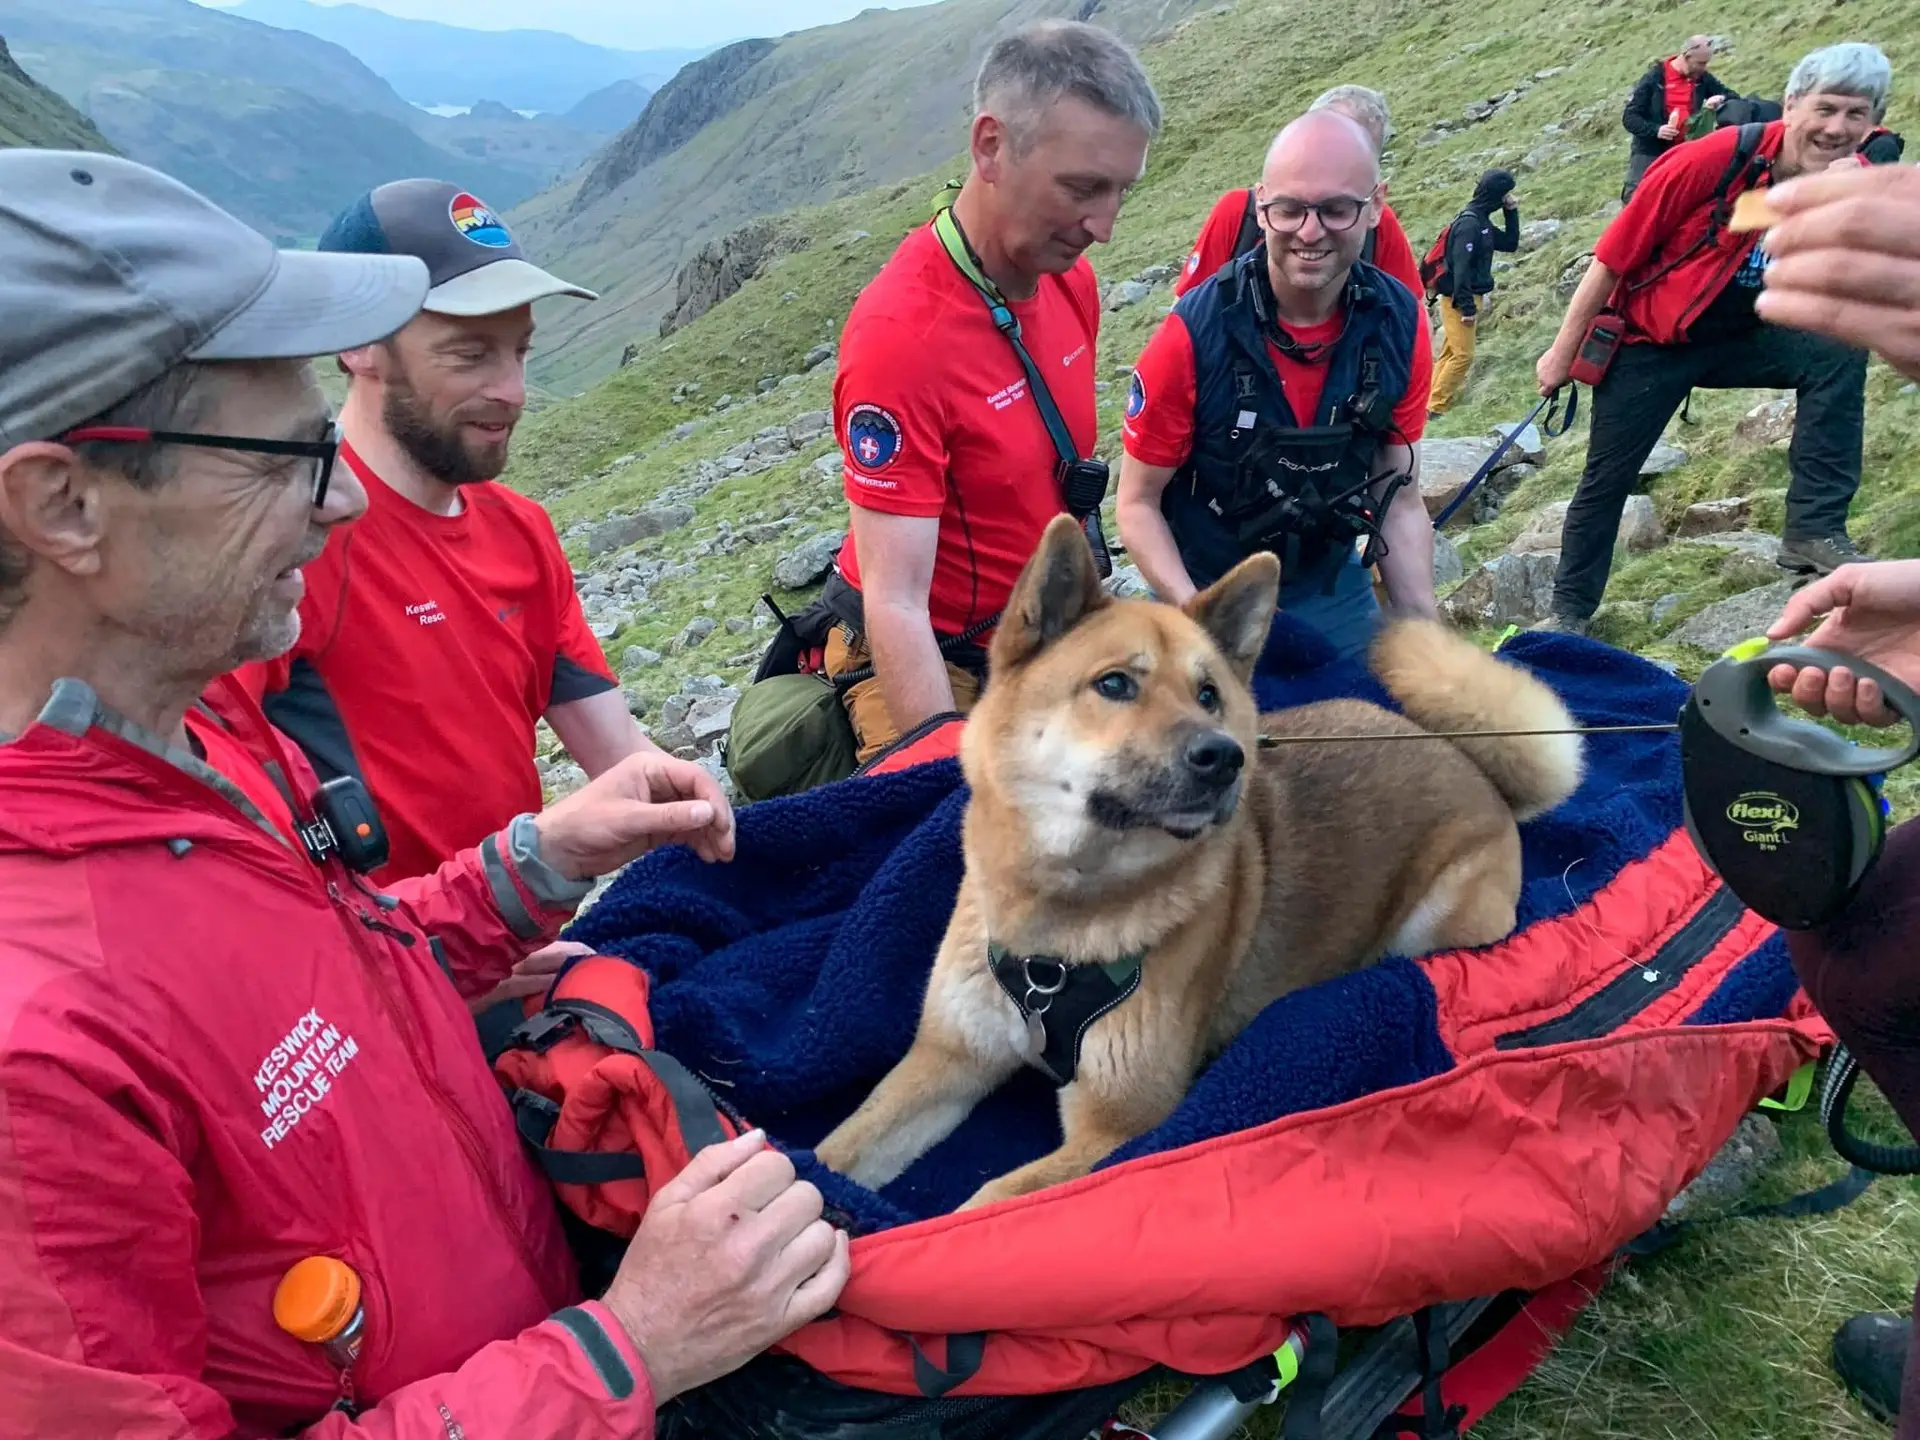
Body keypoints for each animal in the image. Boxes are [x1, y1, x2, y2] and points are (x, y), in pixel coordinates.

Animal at [817, 514, 1582, 1213]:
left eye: (1209, 694)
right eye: (1114, 685)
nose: (1225, 757)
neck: (1057, 931)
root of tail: (1465, 760)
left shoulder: (1116, 1127)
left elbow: (987, 1205)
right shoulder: (947, 1060)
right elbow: (838, 1150)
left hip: (1440, 920)